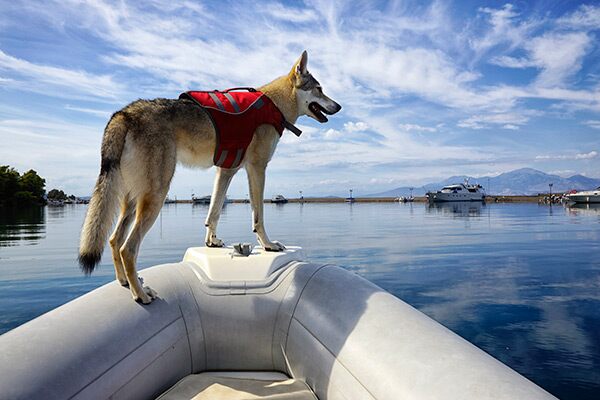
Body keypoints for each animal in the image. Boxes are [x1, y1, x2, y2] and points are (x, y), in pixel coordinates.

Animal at [79, 50, 340, 304]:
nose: (338, 106)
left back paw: (125, 283)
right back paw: (141, 294)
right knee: (127, 248)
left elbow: (213, 211)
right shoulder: (257, 168)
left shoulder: (226, 171)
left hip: (133, 200)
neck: (275, 104)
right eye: (319, 89)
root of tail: (124, 113)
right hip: (156, 195)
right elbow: (258, 215)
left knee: (114, 240)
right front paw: (268, 245)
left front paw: (212, 242)